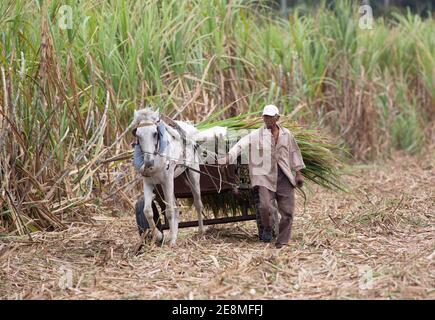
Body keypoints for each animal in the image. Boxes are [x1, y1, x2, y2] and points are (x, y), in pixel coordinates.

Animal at [131, 109, 206, 246]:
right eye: (137, 134)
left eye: (155, 133)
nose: (148, 162)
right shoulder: (148, 182)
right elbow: (147, 211)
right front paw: (158, 235)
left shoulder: (167, 180)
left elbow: (169, 210)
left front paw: (172, 241)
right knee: (176, 206)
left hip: (193, 173)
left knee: (198, 203)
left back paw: (200, 232)